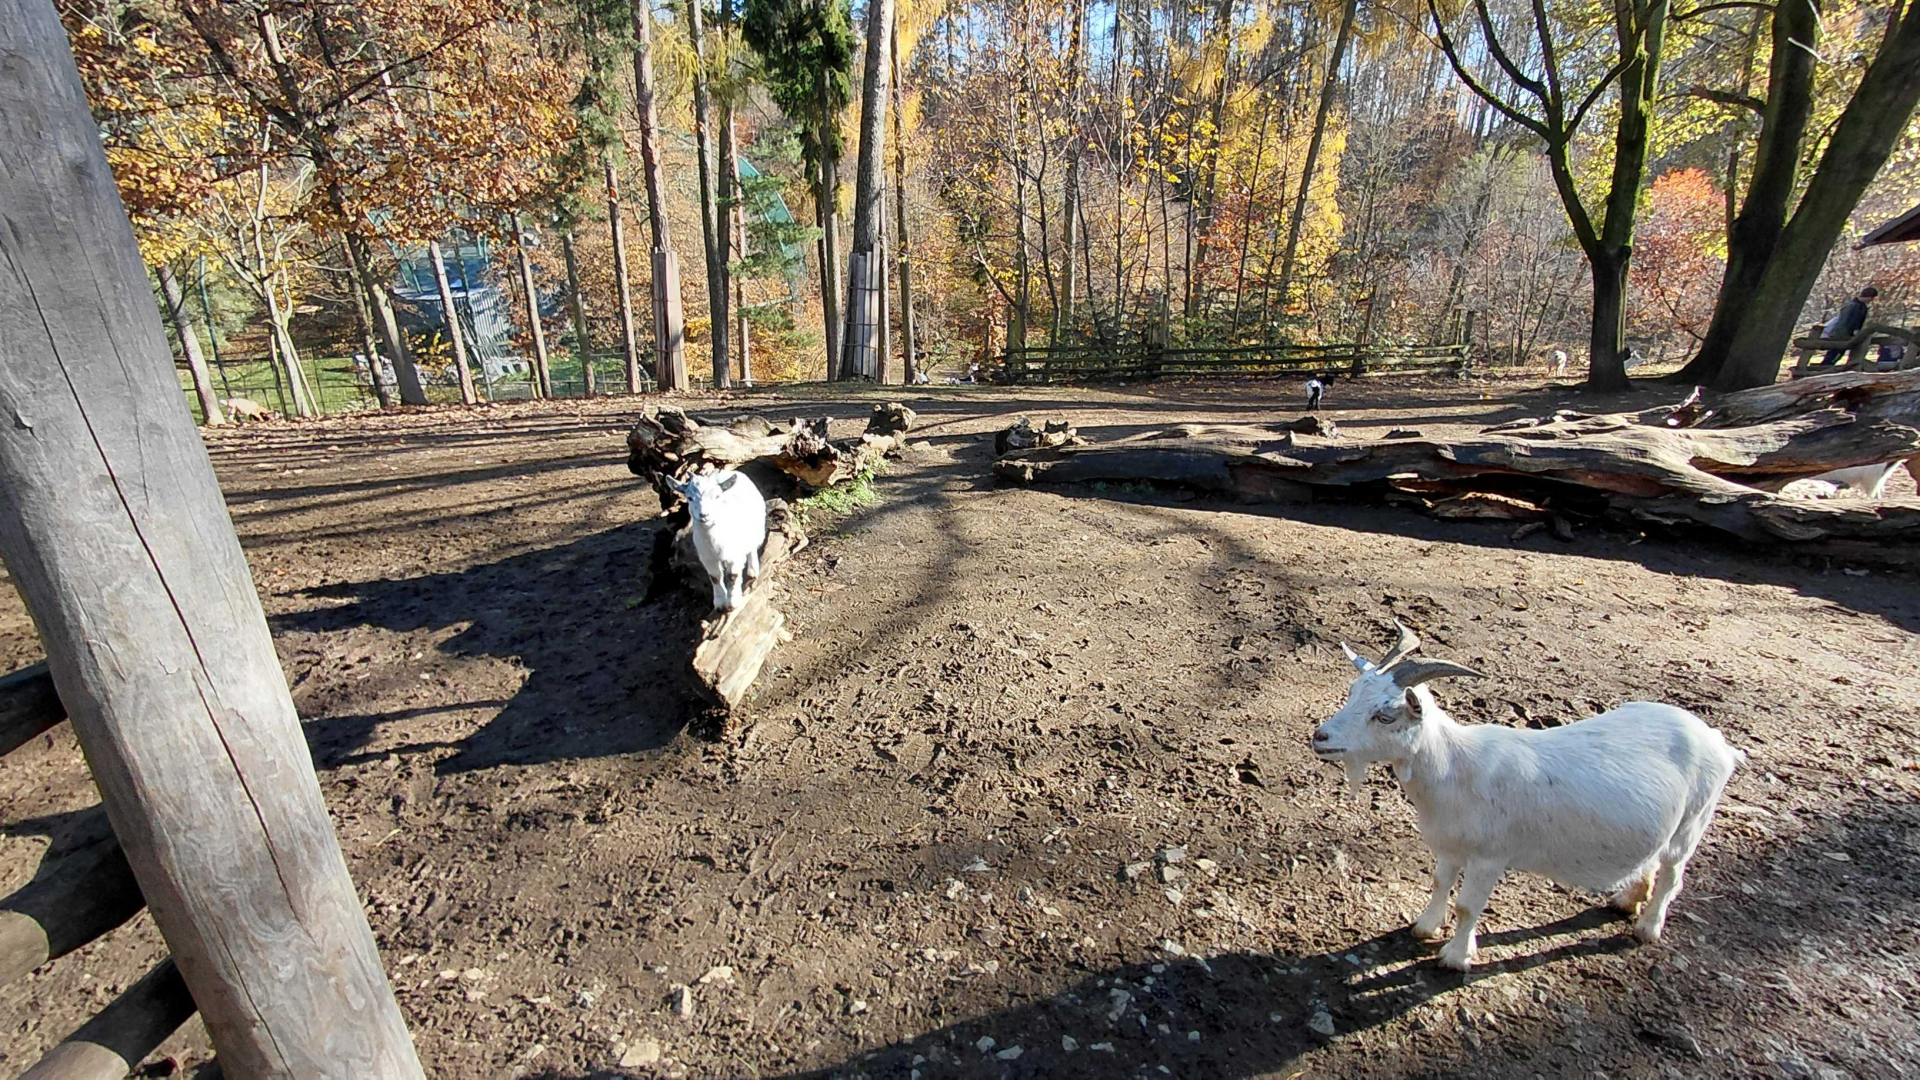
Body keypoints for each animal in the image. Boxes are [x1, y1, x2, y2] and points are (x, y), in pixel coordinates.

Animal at [666, 470, 767, 613]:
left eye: (717, 497)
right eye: (689, 498)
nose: (704, 515)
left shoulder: (735, 555)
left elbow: (733, 576)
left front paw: (732, 603)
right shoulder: (707, 558)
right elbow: (715, 577)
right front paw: (719, 602)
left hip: (756, 528)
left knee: (752, 547)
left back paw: (753, 571)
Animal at [1310, 622, 1744, 971]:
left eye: (1385, 715)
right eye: (1352, 693)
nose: (1320, 737)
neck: (1456, 767)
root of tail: (1720, 742)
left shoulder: (1490, 855)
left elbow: (1468, 906)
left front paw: (1455, 958)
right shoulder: (1449, 845)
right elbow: (1439, 882)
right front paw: (1425, 927)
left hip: (1692, 823)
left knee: (1673, 874)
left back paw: (1648, 927)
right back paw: (1627, 899)